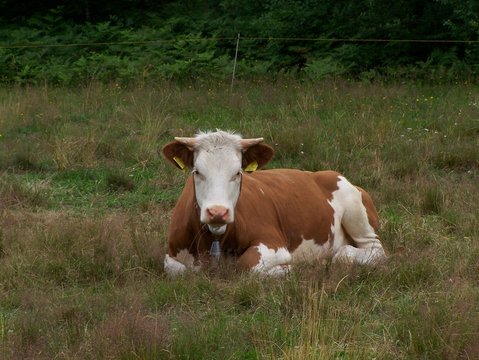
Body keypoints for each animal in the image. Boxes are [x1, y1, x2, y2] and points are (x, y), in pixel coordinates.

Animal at [163, 131, 388, 278]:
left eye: (238, 173)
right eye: (197, 172)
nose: (218, 212)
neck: (214, 239)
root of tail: (324, 173)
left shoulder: (274, 244)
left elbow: (247, 265)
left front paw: (289, 269)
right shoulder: (171, 253)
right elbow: (178, 270)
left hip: (356, 212)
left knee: (369, 251)